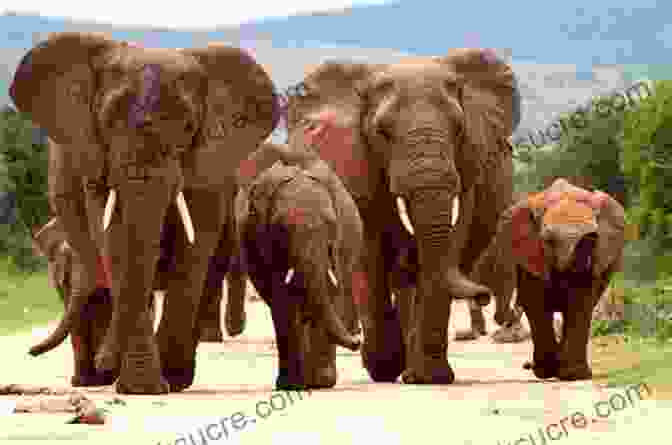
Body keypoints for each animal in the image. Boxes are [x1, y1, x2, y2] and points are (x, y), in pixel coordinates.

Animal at [10, 31, 278, 392]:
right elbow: (116, 240)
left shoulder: (208, 169)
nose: (104, 361)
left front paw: (169, 380)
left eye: (189, 126)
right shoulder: (96, 160)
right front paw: (142, 388)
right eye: (107, 121)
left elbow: (193, 248)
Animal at [234, 147, 364, 386]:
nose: (358, 339)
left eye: (331, 224)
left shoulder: (338, 243)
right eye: (281, 228)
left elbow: (331, 289)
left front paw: (322, 382)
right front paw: (291, 385)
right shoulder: (261, 238)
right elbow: (282, 299)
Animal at [476, 179, 628, 380]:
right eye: (548, 240)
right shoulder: (532, 255)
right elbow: (537, 305)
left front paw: (573, 375)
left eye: (594, 237)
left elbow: (580, 303)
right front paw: (547, 373)